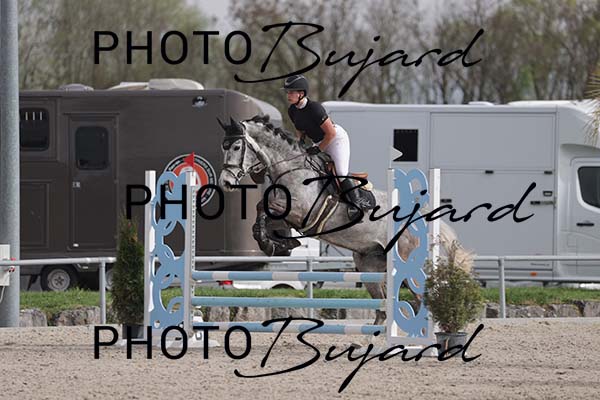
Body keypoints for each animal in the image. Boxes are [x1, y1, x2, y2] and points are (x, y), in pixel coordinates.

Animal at [217, 115, 472, 326]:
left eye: (237, 147)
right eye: (224, 147)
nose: (226, 183)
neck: (292, 168)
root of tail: (422, 220)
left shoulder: (302, 211)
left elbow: (267, 208)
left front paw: (272, 242)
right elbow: (262, 211)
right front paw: (275, 242)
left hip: (406, 264)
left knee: (420, 301)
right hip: (369, 265)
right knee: (384, 309)